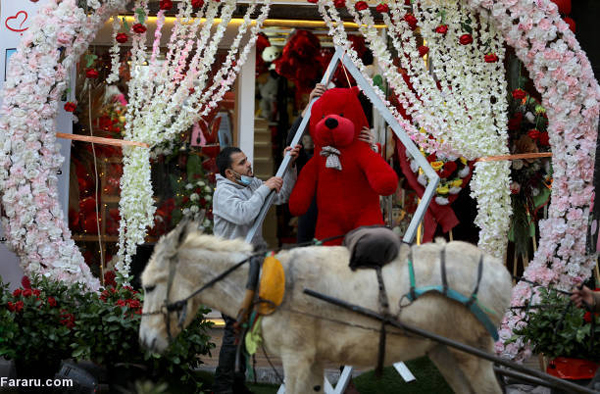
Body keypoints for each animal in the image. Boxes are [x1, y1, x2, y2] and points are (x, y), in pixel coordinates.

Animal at [139, 220, 510, 392]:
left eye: (149, 286)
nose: (144, 342)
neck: (264, 281)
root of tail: (499, 270)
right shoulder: (314, 360)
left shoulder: (296, 357)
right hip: (445, 352)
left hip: (472, 352)